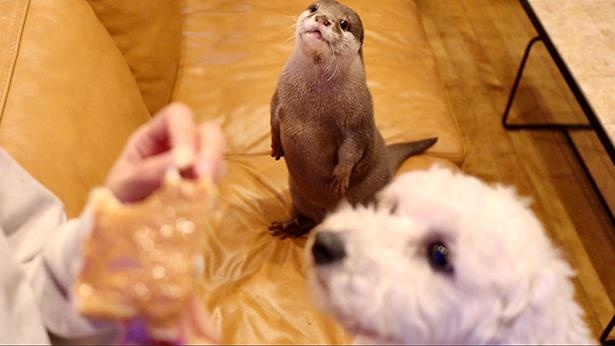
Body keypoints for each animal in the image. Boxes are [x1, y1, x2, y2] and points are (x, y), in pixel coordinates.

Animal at [270, 0, 438, 238]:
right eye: (314, 7)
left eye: (344, 23)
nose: (322, 19)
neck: (311, 106)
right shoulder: (278, 97)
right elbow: (273, 120)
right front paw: (276, 146)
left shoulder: (357, 120)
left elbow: (352, 150)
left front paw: (340, 177)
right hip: (299, 197)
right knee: (307, 220)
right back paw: (288, 227)